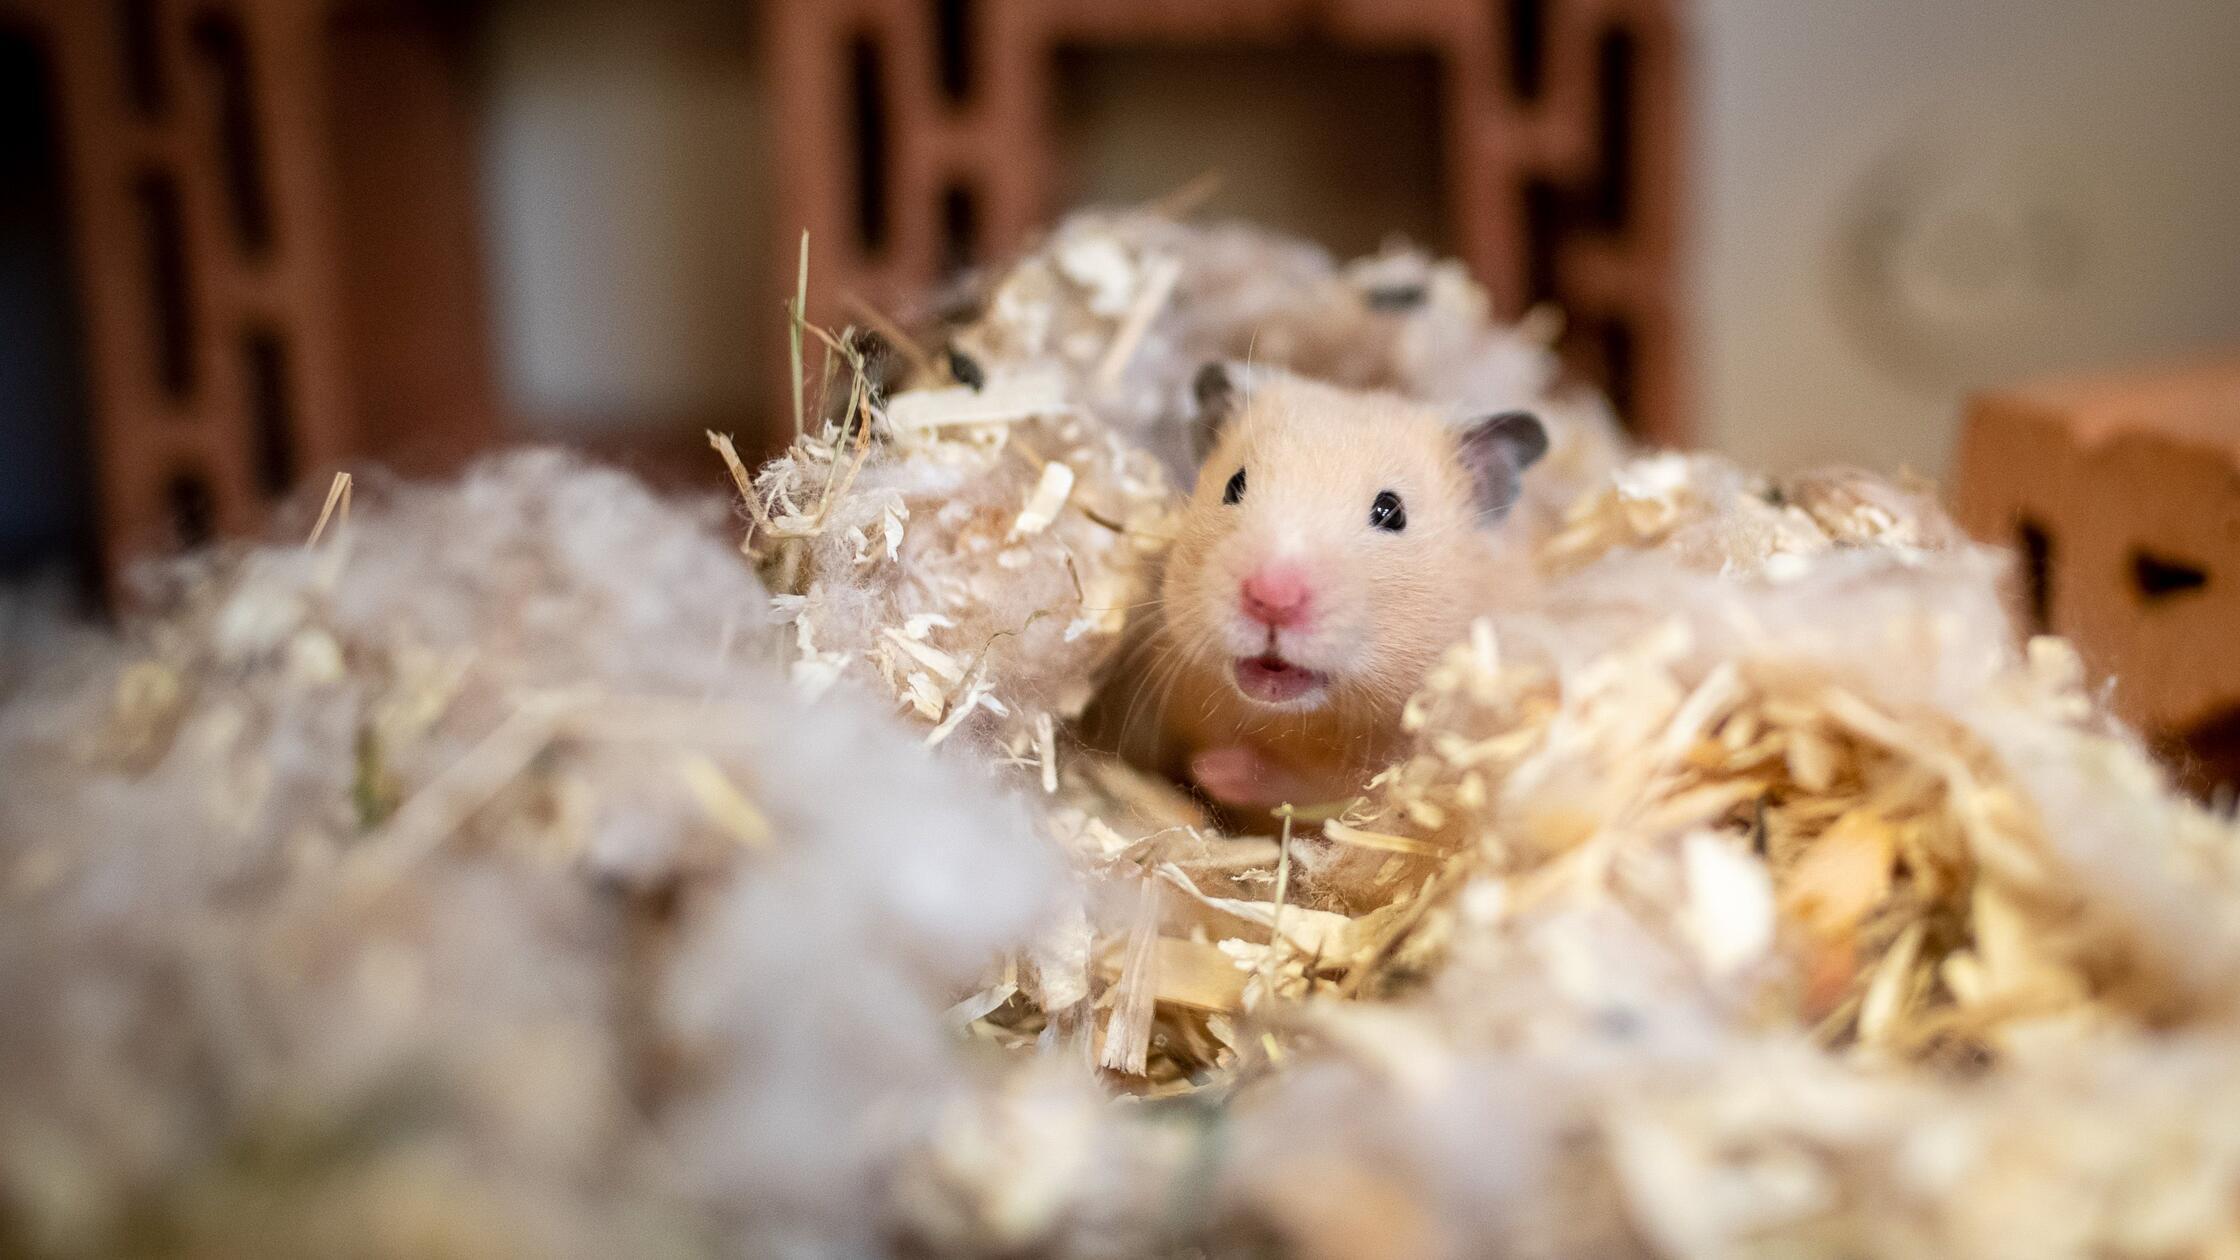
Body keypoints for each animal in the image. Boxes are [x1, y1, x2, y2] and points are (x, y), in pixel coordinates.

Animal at [1121, 365, 1549, 813]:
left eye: (1391, 512)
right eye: (1234, 485)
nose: (1273, 598)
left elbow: (1309, 790)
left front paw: (1217, 770)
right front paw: (1201, 768)